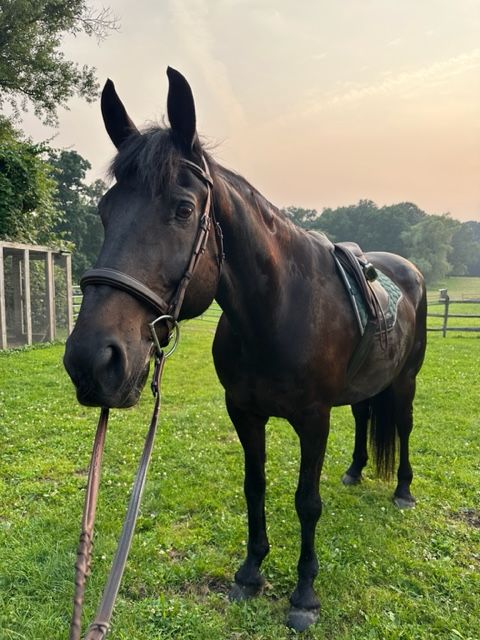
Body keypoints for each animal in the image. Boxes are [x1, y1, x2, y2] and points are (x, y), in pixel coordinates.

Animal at [64, 67, 427, 632]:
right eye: (104, 212)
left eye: (184, 209)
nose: (91, 360)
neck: (276, 311)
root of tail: (407, 269)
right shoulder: (243, 412)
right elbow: (253, 487)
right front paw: (251, 572)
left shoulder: (313, 418)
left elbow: (306, 502)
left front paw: (304, 595)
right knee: (366, 415)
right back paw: (354, 470)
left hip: (405, 380)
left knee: (403, 428)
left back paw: (403, 491)